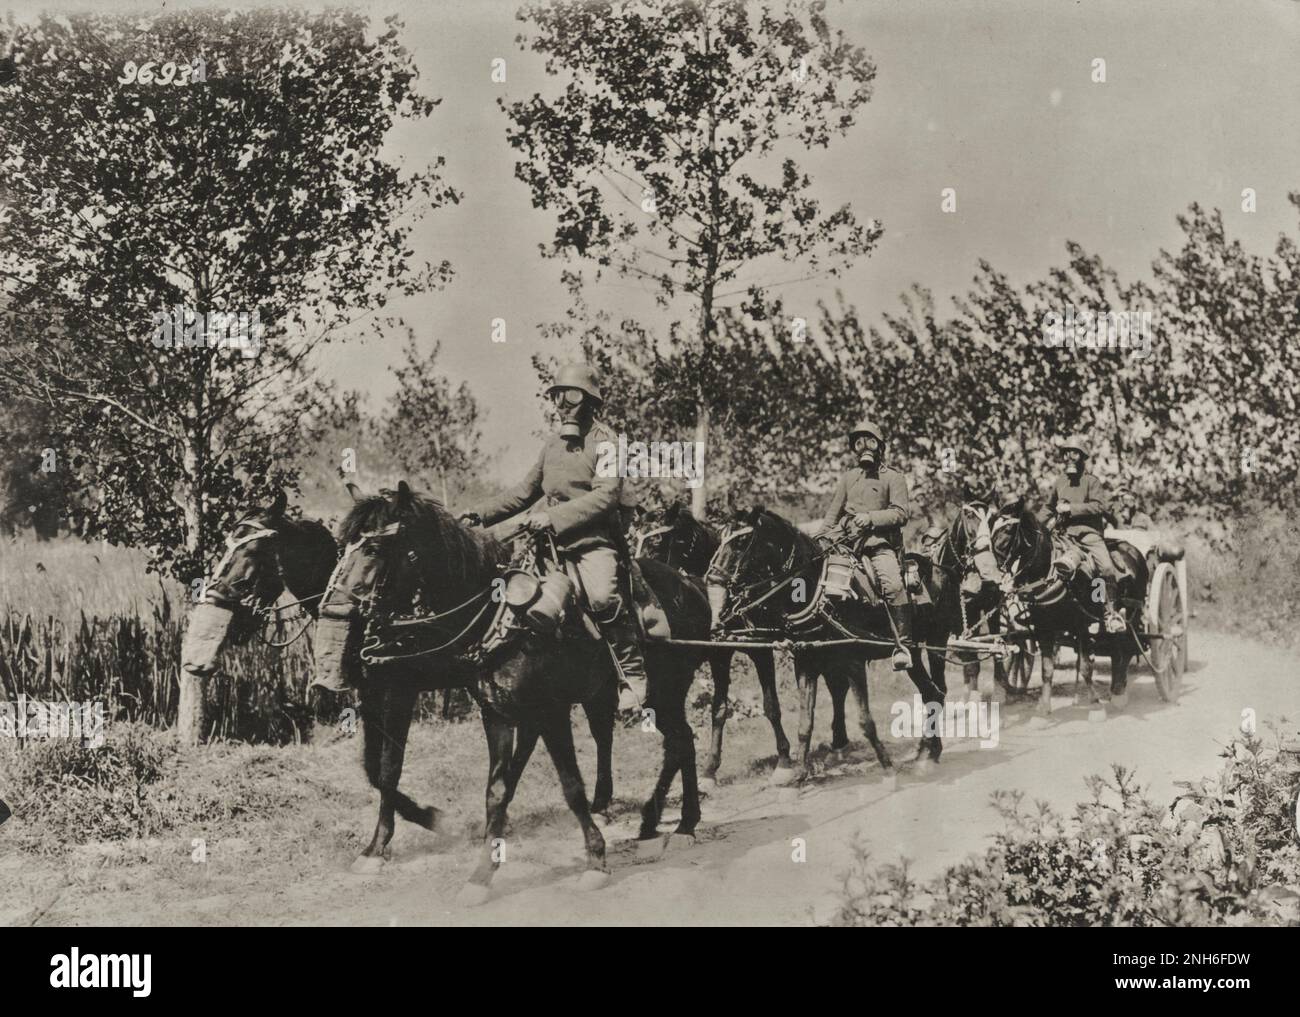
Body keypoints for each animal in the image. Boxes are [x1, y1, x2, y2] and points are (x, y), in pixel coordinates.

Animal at [310, 486, 712, 910]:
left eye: (373, 549)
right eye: (342, 546)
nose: (334, 607)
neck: (500, 618)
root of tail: (689, 586)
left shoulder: (546, 710)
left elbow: (571, 786)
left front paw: (595, 860)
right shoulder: (494, 712)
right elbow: (492, 788)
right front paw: (480, 872)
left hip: (664, 693)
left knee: (680, 741)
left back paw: (679, 825)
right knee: (673, 741)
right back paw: (659, 822)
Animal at [629, 504, 790, 785]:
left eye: (657, 541)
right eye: (636, 537)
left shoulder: (762, 652)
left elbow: (771, 706)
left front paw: (784, 759)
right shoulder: (719, 657)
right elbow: (719, 709)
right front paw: (710, 769)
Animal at [712, 504, 946, 785]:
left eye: (741, 541)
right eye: (720, 536)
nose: (712, 577)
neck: (816, 590)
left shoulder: (853, 662)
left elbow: (865, 721)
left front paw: (888, 771)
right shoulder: (806, 662)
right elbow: (805, 722)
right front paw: (798, 776)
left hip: (937, 645)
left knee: (937, 693)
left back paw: (928, 756)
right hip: (914, 654)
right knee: (933, 694)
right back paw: (926, 754)